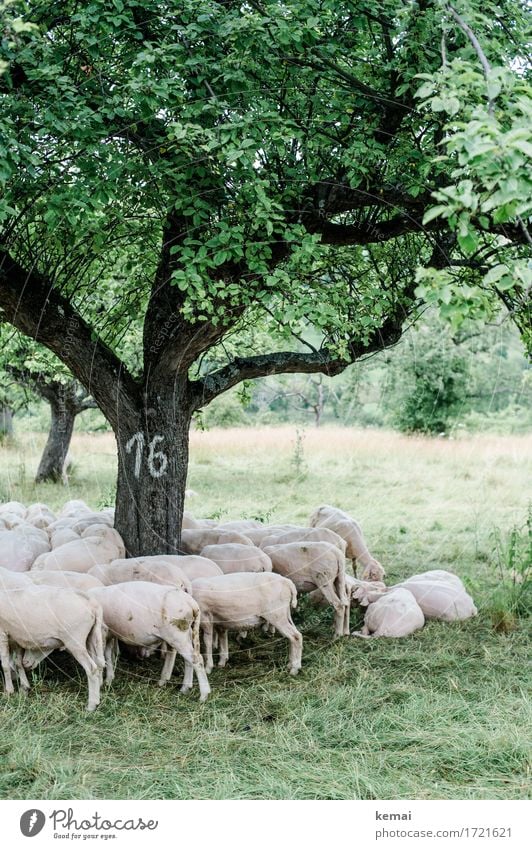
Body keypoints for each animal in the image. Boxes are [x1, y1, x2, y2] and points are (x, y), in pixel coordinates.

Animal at [0, 568, 105, 708]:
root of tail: (92, 603)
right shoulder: (16, 637)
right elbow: (18, 663)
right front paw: (24, 688)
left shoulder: (2, 634)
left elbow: (5, 664)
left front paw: (9, 691)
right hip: (90, 637)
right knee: (98, 664)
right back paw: (97, 695)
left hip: (74, 640)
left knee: (92, 669)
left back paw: (91, 705)